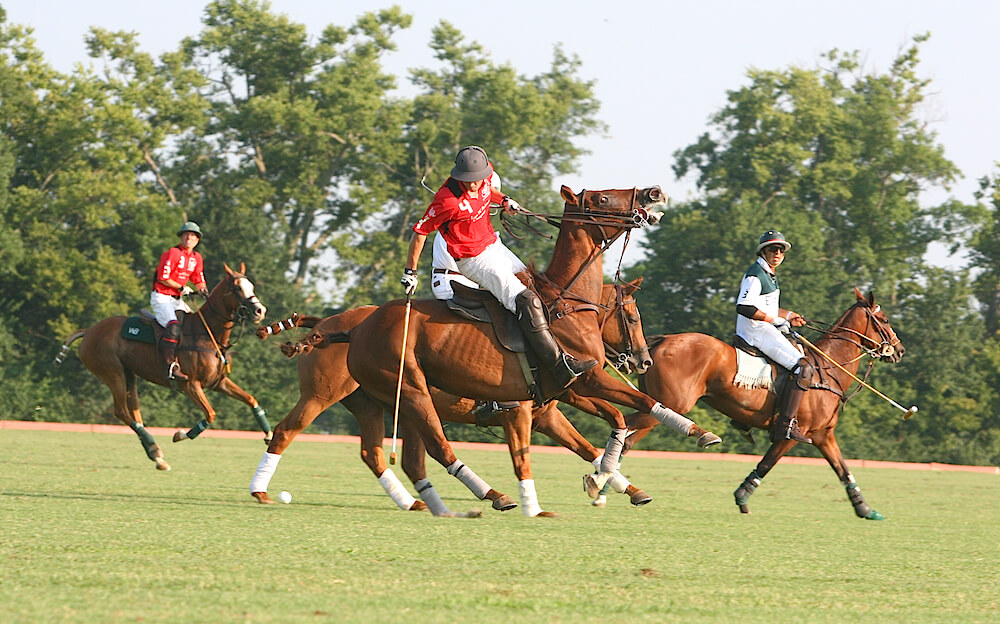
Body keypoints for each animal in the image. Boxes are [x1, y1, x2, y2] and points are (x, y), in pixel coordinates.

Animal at [54, 260, 270, 470]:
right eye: (237, 288)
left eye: (251, 286)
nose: (260, 311)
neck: (208, 334)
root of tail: (89, 331)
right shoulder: (190, 384)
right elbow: (210, 414)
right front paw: (179, 435)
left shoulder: (218, 382)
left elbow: (251, 400)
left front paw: (268, 435)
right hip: (112, 373)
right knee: (121, 411)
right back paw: (155, 449)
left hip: (129, 374)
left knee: (134, 412)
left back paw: (156, 454)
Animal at [250, 280, 656, 516]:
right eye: (633, 317)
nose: (643, 360)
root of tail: (329, 324)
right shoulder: (521, 414)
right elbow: (526, 457)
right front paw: (538, 504)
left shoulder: (548, 413)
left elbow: (587, 447)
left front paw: (623, 488)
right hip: (327, 395)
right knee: (285, 432)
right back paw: (261, 491)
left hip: (374, 404)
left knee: (379, 454)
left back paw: (415, 502)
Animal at [616, 290, 908, 520]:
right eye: (885, 319)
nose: (899, 350)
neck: (828, 368)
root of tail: (662, 340)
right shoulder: (792, 433)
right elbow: (767, 464)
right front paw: (742, 497)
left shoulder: (824, 435)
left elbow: (843, 469)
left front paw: (865, 508)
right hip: (669, 405)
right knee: (623, 427)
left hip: (660, 406)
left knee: (627, 439)